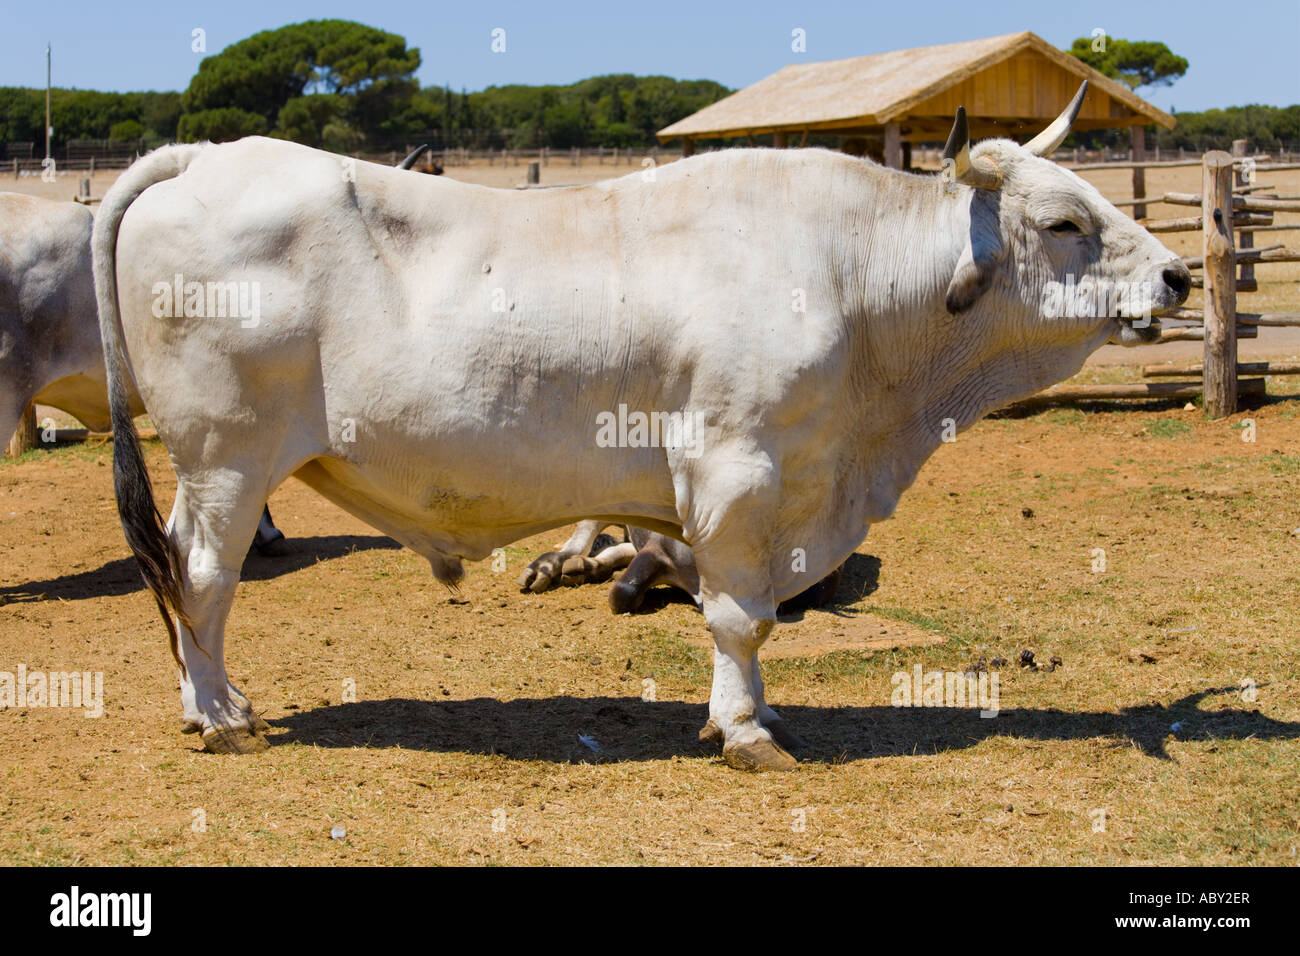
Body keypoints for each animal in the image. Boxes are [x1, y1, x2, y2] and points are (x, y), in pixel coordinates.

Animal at [91, 82, 1190, 770]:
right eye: (1064, 222)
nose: (1179, 275)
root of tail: (204, 155)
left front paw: (752, 708)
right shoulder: (737, 473)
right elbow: (741, 613)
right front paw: (745, 730)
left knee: (181, 575)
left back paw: (209, 704)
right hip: (226, 458)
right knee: (201, 575)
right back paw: (219, 714)